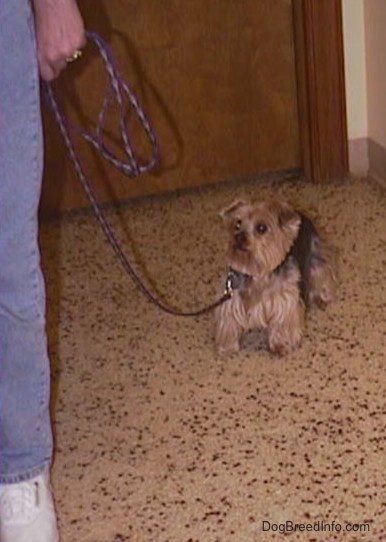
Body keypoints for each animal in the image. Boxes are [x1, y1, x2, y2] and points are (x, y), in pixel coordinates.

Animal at [214, 200, 338, 356]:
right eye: (237, 224)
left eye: (261, 228)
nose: (239, 237)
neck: (258, 274)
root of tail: (299, 212)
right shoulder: (231, 295)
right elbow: (228, 320)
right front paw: (227, 347)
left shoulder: (285, 300)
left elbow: (282, 321)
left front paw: (281, 344)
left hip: (316, 254)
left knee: (322, 274)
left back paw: (322, 298)